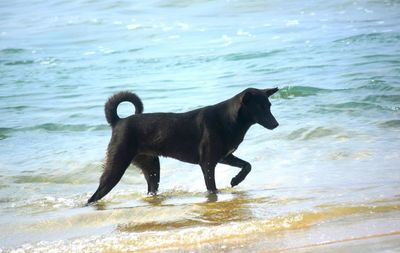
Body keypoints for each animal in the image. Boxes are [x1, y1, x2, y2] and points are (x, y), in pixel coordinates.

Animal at [88, 87, 280, 204]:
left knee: (151, 188)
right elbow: (212, 187)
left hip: (152, 167)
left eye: (269, 105)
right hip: (116, 166)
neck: (230, 119)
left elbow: (247, 165)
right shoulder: (207, 163)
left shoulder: (225, 156)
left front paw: (235, 180)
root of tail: (118, 121)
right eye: (260, 107)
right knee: (95, 195)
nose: (276, 124)